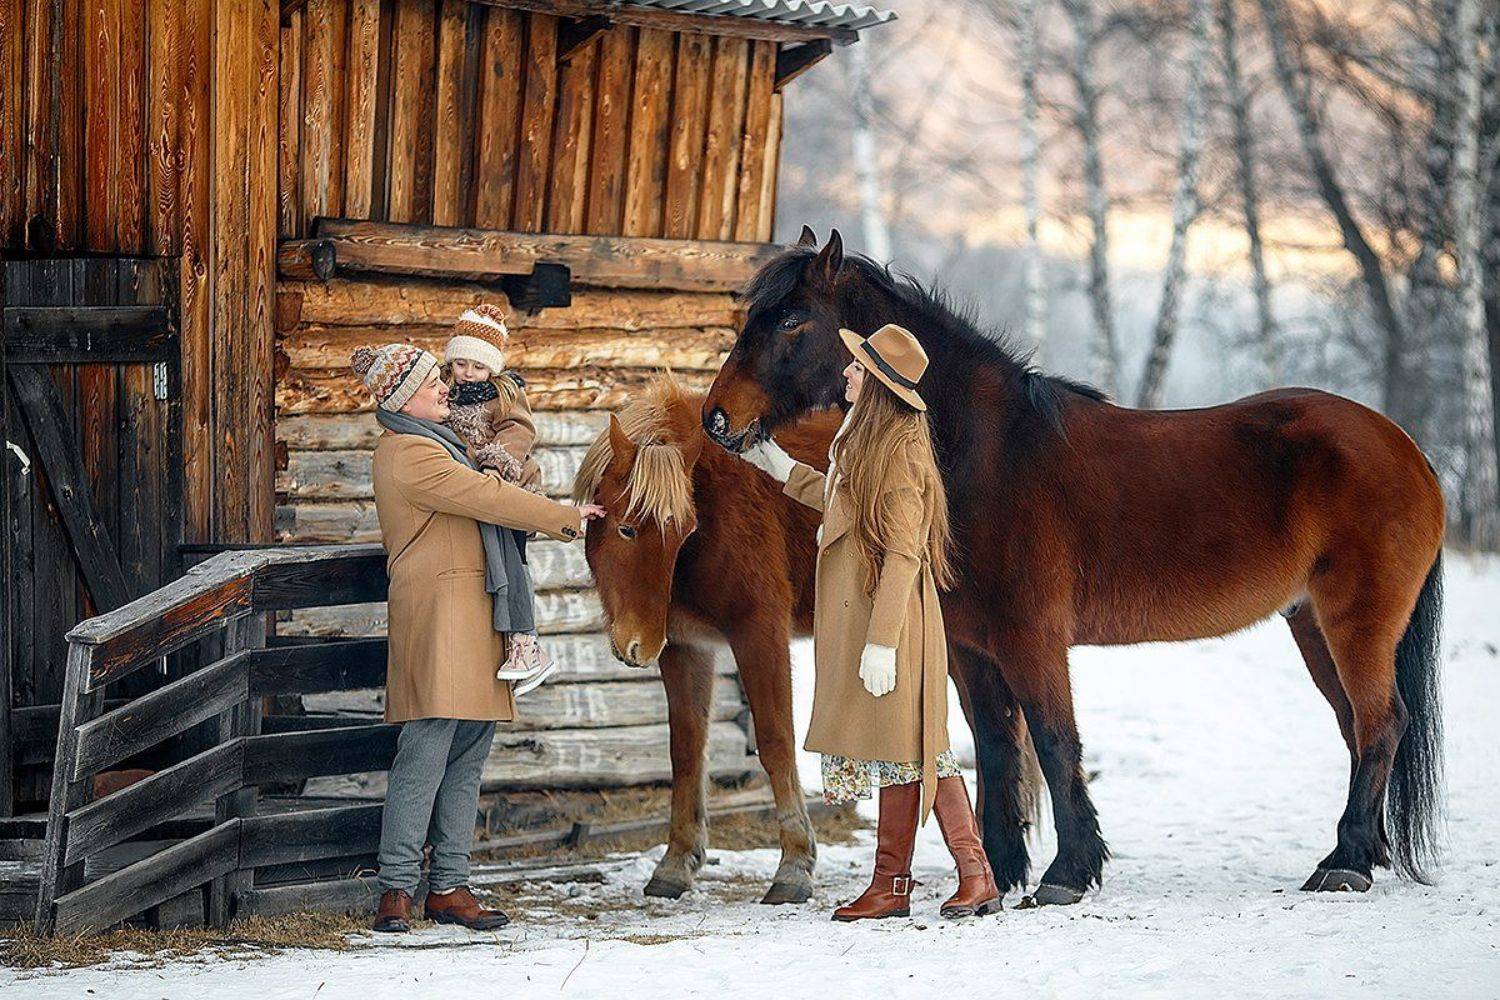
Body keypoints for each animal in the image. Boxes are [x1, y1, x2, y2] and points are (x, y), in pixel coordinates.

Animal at [573, 378, 838, 904]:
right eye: (627, 528)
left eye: (683, 531)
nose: (639, 645)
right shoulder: (683, 646)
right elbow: (687, 749)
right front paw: (677, 862)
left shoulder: (759, 631)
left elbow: (777, 742)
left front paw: (795, 865)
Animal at [701, 227, 1447, 904]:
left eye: (792, 320)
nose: (717, 419)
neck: (988, 452)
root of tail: (1406, 449)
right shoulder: (972, 649)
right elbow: (997, 748)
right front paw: (998, 876)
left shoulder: (1031, 639)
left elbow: (1056, 742)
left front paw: (1067, 873)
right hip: (1313, 625)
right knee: (1359, 729)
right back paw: (1361, 853)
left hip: (1355, 624)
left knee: (1381, 724)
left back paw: (1344, 864)